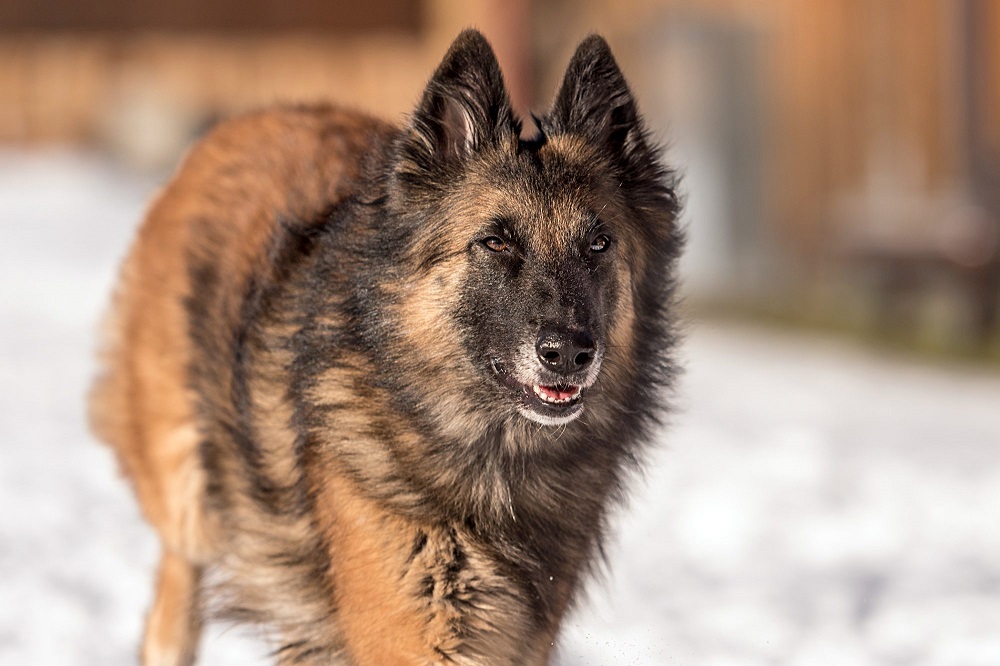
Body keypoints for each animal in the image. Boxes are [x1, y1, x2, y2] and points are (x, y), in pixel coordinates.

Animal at [90, 29, 684, 664]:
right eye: (496, 242)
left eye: (598, 244)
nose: (570, 352)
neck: (494, 461)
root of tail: (245, 120)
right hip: (189, 494)